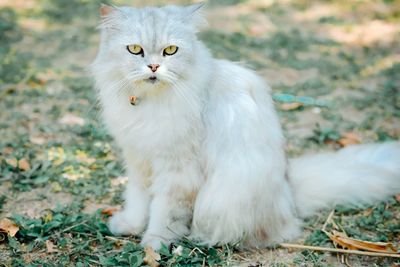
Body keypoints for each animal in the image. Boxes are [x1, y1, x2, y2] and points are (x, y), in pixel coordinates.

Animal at [90, 3, 400, 251]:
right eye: (135, 50)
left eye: (170, 50)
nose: (154, 67)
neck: (149, 103)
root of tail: (290, 195)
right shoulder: (139, 159)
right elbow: (138, 200)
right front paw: (130, 225)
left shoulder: (177, 171)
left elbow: (164, 213)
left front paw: (155, 243)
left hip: (220, 199)